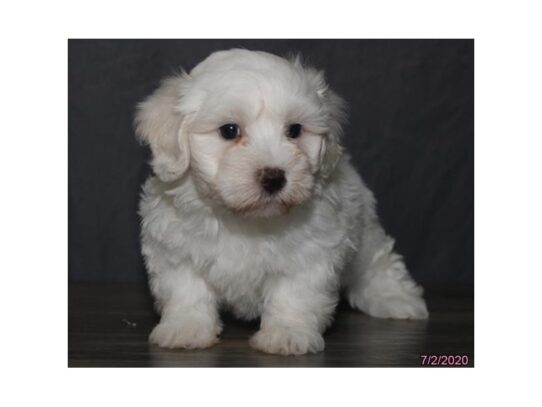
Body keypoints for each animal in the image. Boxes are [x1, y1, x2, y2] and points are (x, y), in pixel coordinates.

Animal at [135, 48, 430, 356]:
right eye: (229, 130)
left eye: (295, 130)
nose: (274, 178)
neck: (244, 220)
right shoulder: (175, 249)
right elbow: (187, 289)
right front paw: (186, 329)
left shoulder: (312, 252)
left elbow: (294, 294)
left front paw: (286, 335)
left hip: (364, 228)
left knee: (378, 261)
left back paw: (397, 298)